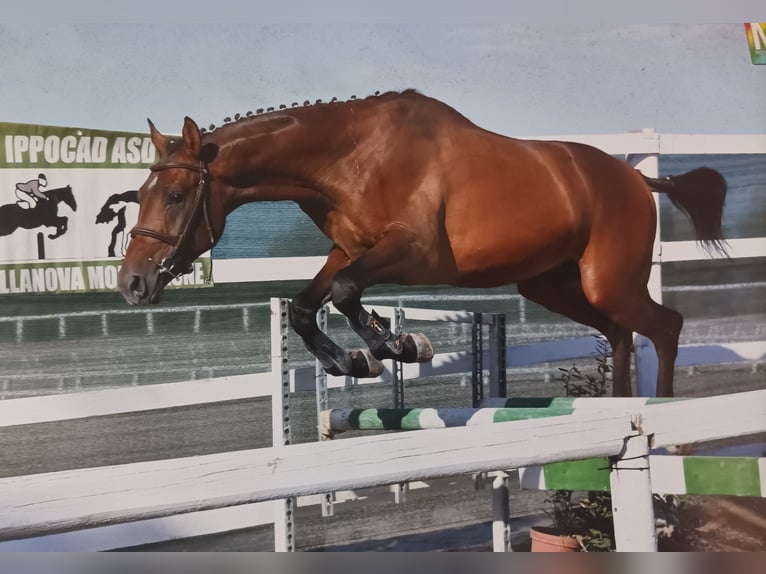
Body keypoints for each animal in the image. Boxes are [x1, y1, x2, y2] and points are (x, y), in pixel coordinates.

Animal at [117, 90, 727, 397]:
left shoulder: (414, 251)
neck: (348, 158)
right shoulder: (349, 249)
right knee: (622, 333)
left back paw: (663, 416)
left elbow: (344, 292)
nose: (132, 283)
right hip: (552, 284)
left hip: (606, 281)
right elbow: (306, 305)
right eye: (139, 194)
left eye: (175, 195)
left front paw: (394, 345)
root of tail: (639, 179)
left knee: (664, 327)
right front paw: (350, 360)